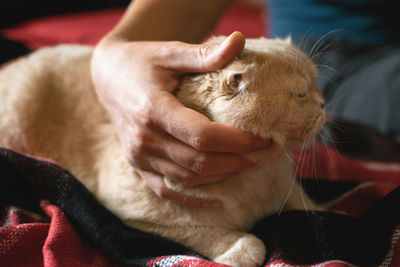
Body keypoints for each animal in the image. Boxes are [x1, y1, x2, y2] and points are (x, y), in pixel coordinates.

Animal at [0, 36, 324, 266]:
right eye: (301, 94)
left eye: (316, 85)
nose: (323, 104)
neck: (257, 175)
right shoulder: (136, 218)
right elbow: (203, 232)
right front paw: (240, 248)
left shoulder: (290, 190)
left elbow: (308, 204)